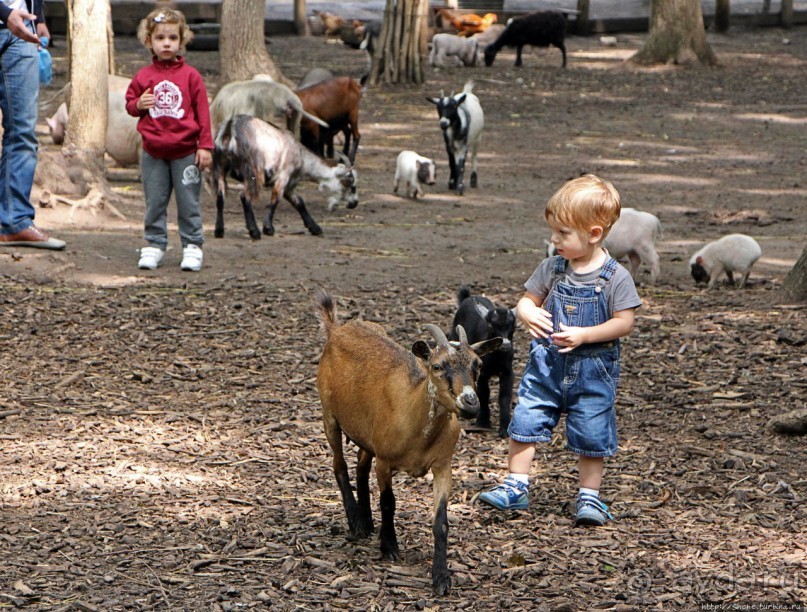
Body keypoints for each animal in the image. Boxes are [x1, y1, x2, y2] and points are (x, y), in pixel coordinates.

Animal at [213, 115, 358, 239]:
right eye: (352, 185)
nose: (354, 203)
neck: (301, 157)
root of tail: (230, 128)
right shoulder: (282, 178)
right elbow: (274, 201)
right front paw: (268, 228)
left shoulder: (289, 185)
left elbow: (299, 202)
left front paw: (315, 228)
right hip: (253, 171)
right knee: (244, 195)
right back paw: (254, 231)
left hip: (220, 167)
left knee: (220, 197)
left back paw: (219, 231)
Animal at [318, 290, 502, 596]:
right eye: (437, 366)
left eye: (478, 365)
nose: (470, 403)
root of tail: (336, 329)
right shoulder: (385, 460)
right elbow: (389, 502)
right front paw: (389, 546)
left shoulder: (443, 465)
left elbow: (441, 521)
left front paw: (441, 577)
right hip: (329, 415)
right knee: (339, 464)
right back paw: (356, 522)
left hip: (366, 435)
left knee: (360, 466)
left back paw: (366, 522)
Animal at [448, 288, 516, 440]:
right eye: (491, 326)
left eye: (513, 326)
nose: (505, 344)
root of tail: (467, 297)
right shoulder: (482, 372)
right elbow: (484, 394)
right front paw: (483, 422)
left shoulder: (507, 372)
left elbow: (504, 397)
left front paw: (505, 428)